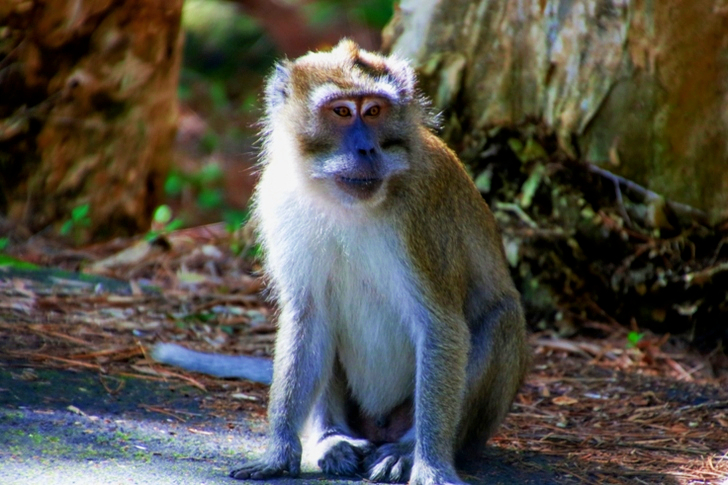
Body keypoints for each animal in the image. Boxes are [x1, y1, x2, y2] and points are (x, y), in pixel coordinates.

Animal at [152, 39, 529, 485]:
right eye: (342, 112)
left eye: (374, 111)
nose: (366, 148)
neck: (343, 202)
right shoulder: (279, 196)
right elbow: (308, 313)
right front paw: (279, 453)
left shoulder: (422, 216)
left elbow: (441, 325)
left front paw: (431, 465)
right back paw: (330, 438)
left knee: (501, 318)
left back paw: (405, 450)